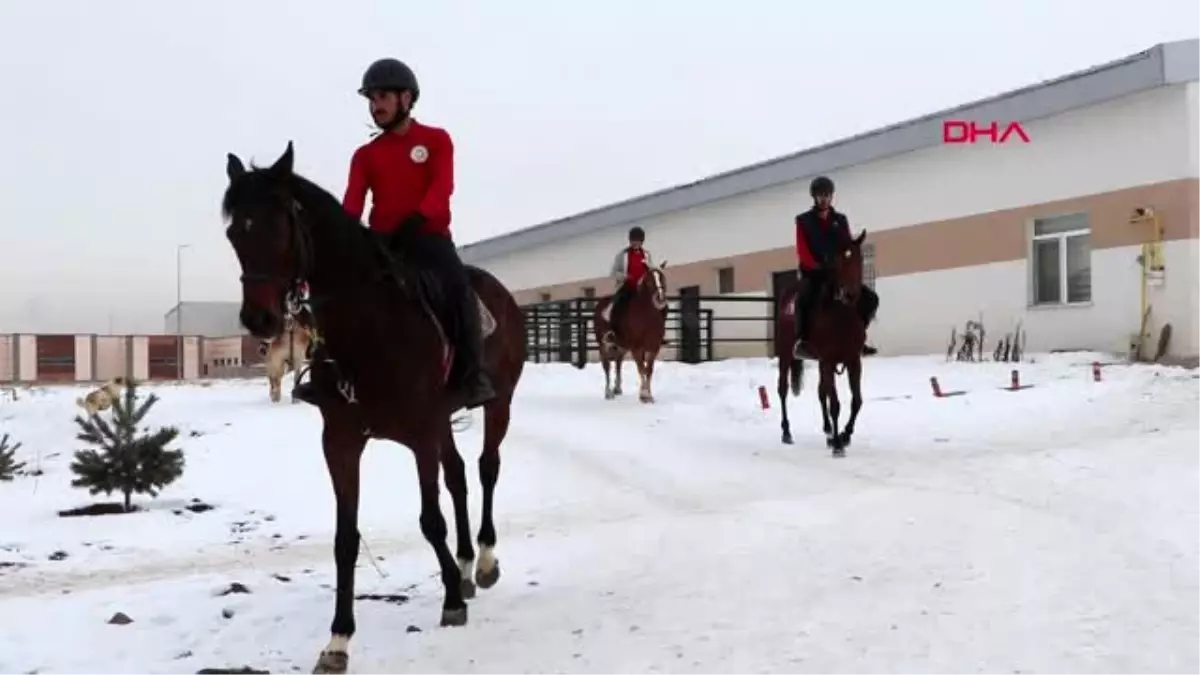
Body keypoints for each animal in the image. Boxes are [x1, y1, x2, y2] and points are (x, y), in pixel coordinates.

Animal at [225, 139, 525, 667]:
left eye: (278, 226)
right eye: (233, 233)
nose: (259, 319)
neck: (369, 330)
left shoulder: (421, 434)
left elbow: (430, 520)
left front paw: (450, 599)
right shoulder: (342, 441)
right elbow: (346, 539)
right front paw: (338, 639)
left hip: (498, 403)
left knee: (487, 467)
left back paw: (484, 561)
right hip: (444, 421)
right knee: (459, 477)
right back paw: (467, 565)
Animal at [571, 261, 667, 398]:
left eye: (662, 278)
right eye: (649, 280)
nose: (660, 298)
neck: (646, 316)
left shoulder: (653, 348)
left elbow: (648, 370)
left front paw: (648, 394)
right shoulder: (636, 348)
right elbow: (641, 369)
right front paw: (644, 394)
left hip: (620, 347)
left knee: (618, 363)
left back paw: (617, 388)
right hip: (604, 345)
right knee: (607, 366)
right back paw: (608, 392)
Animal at [772, 230, 868, 456]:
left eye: (859, 258)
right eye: (840, 259)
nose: (851, 294)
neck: (841, 314)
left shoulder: (853, 361)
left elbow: (856, 401)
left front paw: (844, 435)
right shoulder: (829, 360)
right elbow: (835, 404)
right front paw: (839, 445)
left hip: (821, 363)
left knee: (821, 392)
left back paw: (828, 431)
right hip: (786, 354)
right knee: (783, 389)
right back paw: (787, 432)